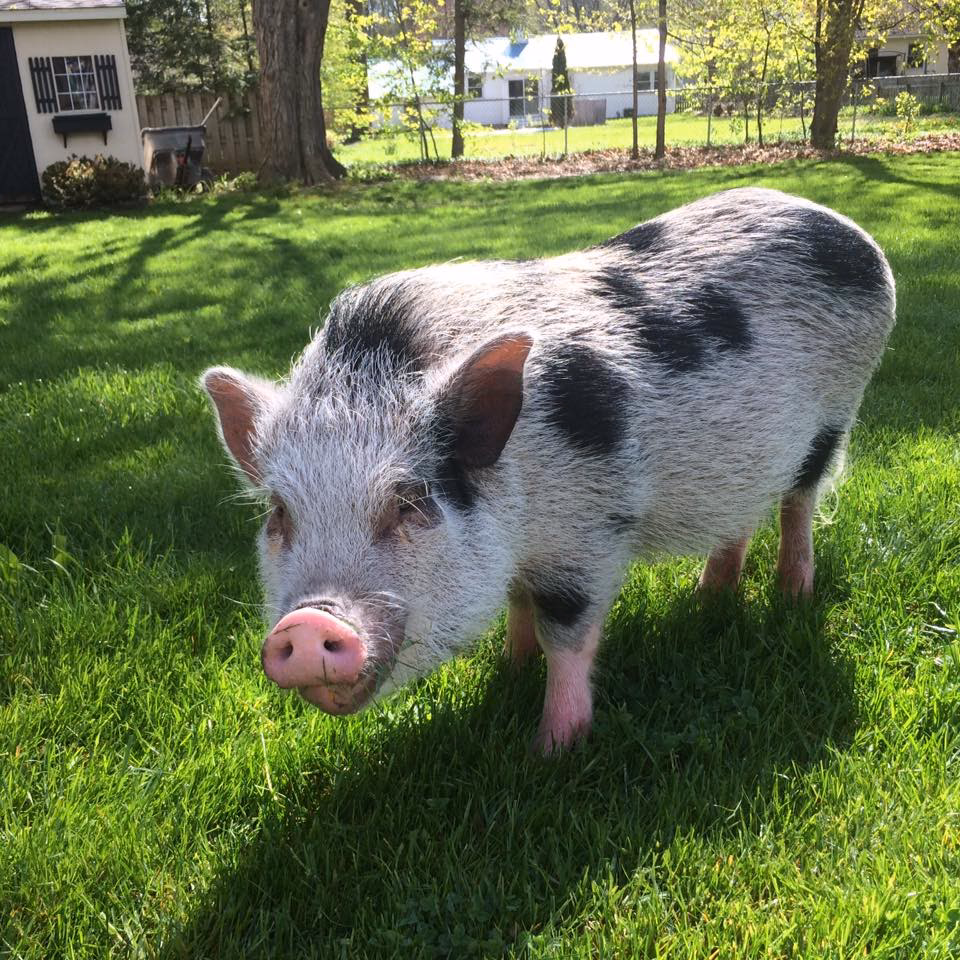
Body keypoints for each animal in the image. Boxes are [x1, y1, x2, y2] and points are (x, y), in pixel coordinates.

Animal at [202, 186, 895, 754]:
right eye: (279, 514)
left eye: (410, 501)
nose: (306, 624)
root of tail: (849, 230)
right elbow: (516, 604)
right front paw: (507, 671)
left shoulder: (587, 535)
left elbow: (568, 633)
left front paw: (551, 750)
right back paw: (708, 597)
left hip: (837, 414)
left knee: (799, 503)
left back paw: (792, 595)